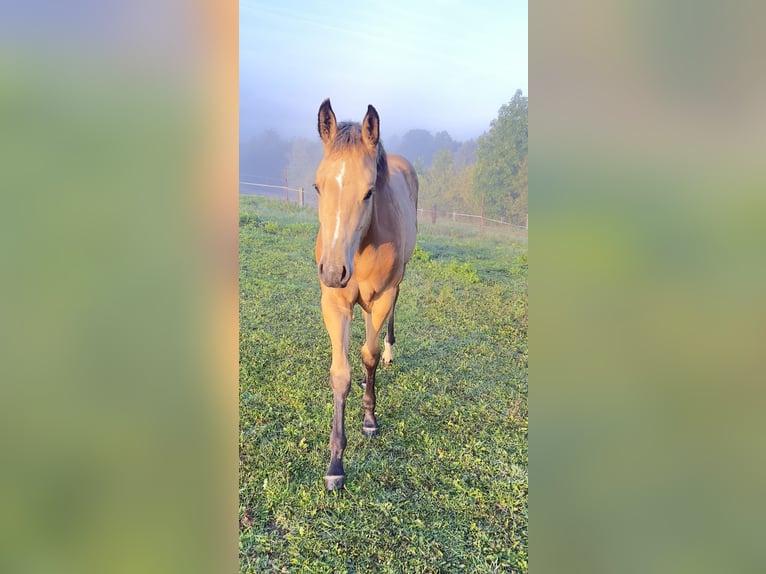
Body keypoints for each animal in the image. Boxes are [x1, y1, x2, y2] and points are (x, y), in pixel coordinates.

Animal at [314, 99, 420, 490]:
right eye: (317, 187)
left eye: (369, 191)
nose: (333, 272)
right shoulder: (334, 303)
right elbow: (340, 373)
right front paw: (335, 464)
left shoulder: (383, 295)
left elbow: (370, 355)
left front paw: (370, 419)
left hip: (397, 284)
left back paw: (389, 351)